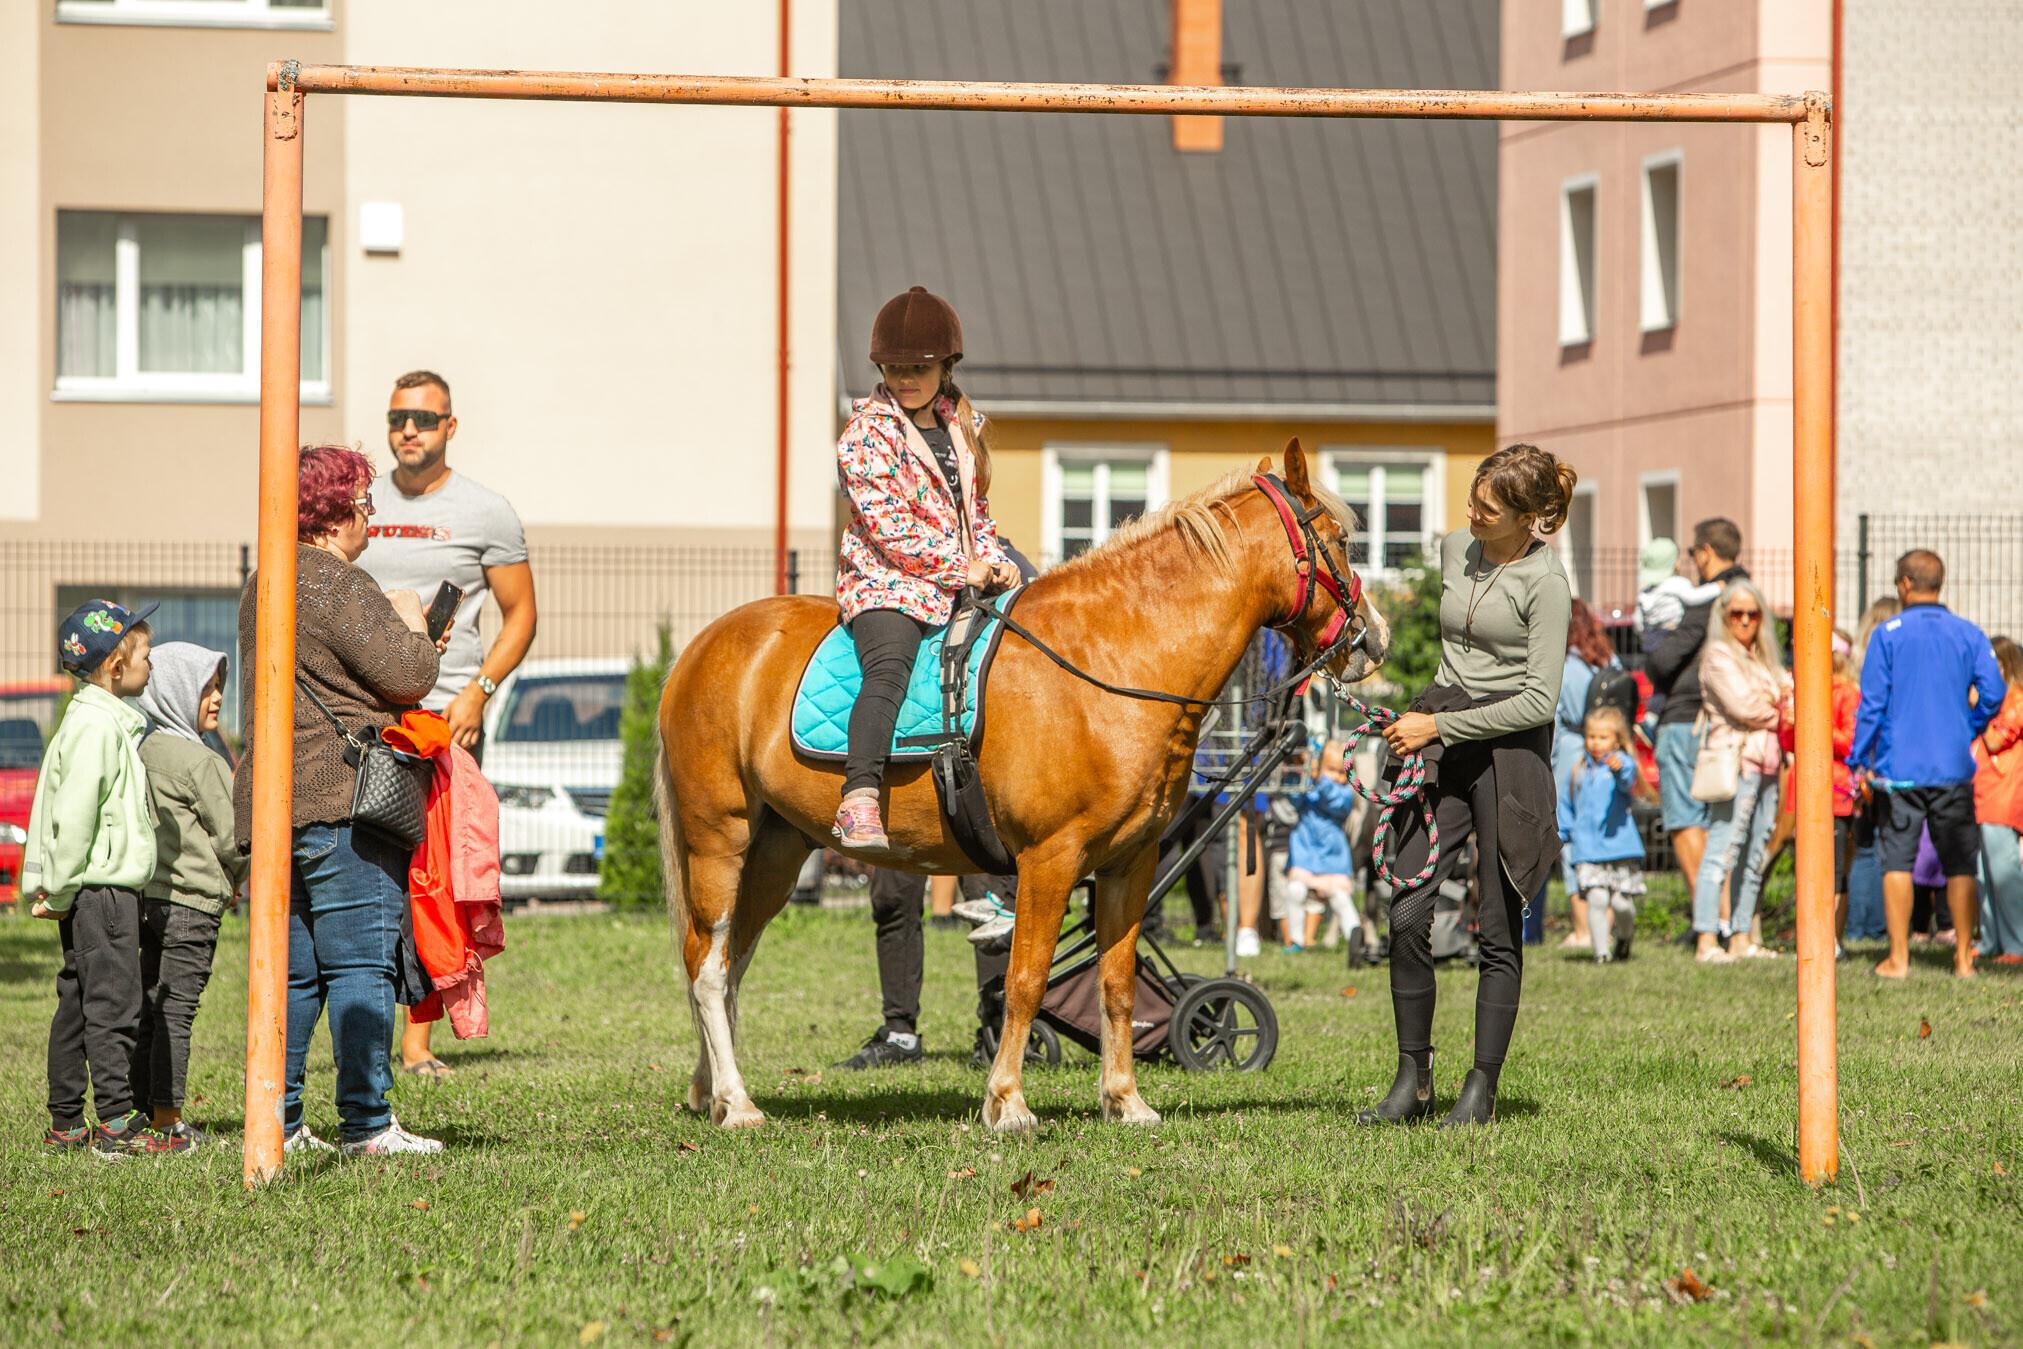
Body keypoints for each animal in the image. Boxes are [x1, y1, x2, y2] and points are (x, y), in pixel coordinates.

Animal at [659, 440, 1391, 1132]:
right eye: (1341, 539)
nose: (1374, 639)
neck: (1111, 662)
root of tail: (699, 648)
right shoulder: (1049, 859)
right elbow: (1025, 978)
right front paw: (1007, 1102)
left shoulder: (1131, 862)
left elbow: (1117, 981)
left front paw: (1125, 1100)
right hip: (719, 840)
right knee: (707, 965)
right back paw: (736, 1102)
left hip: (777, 852)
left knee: (727, 960)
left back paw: (709, 1091)